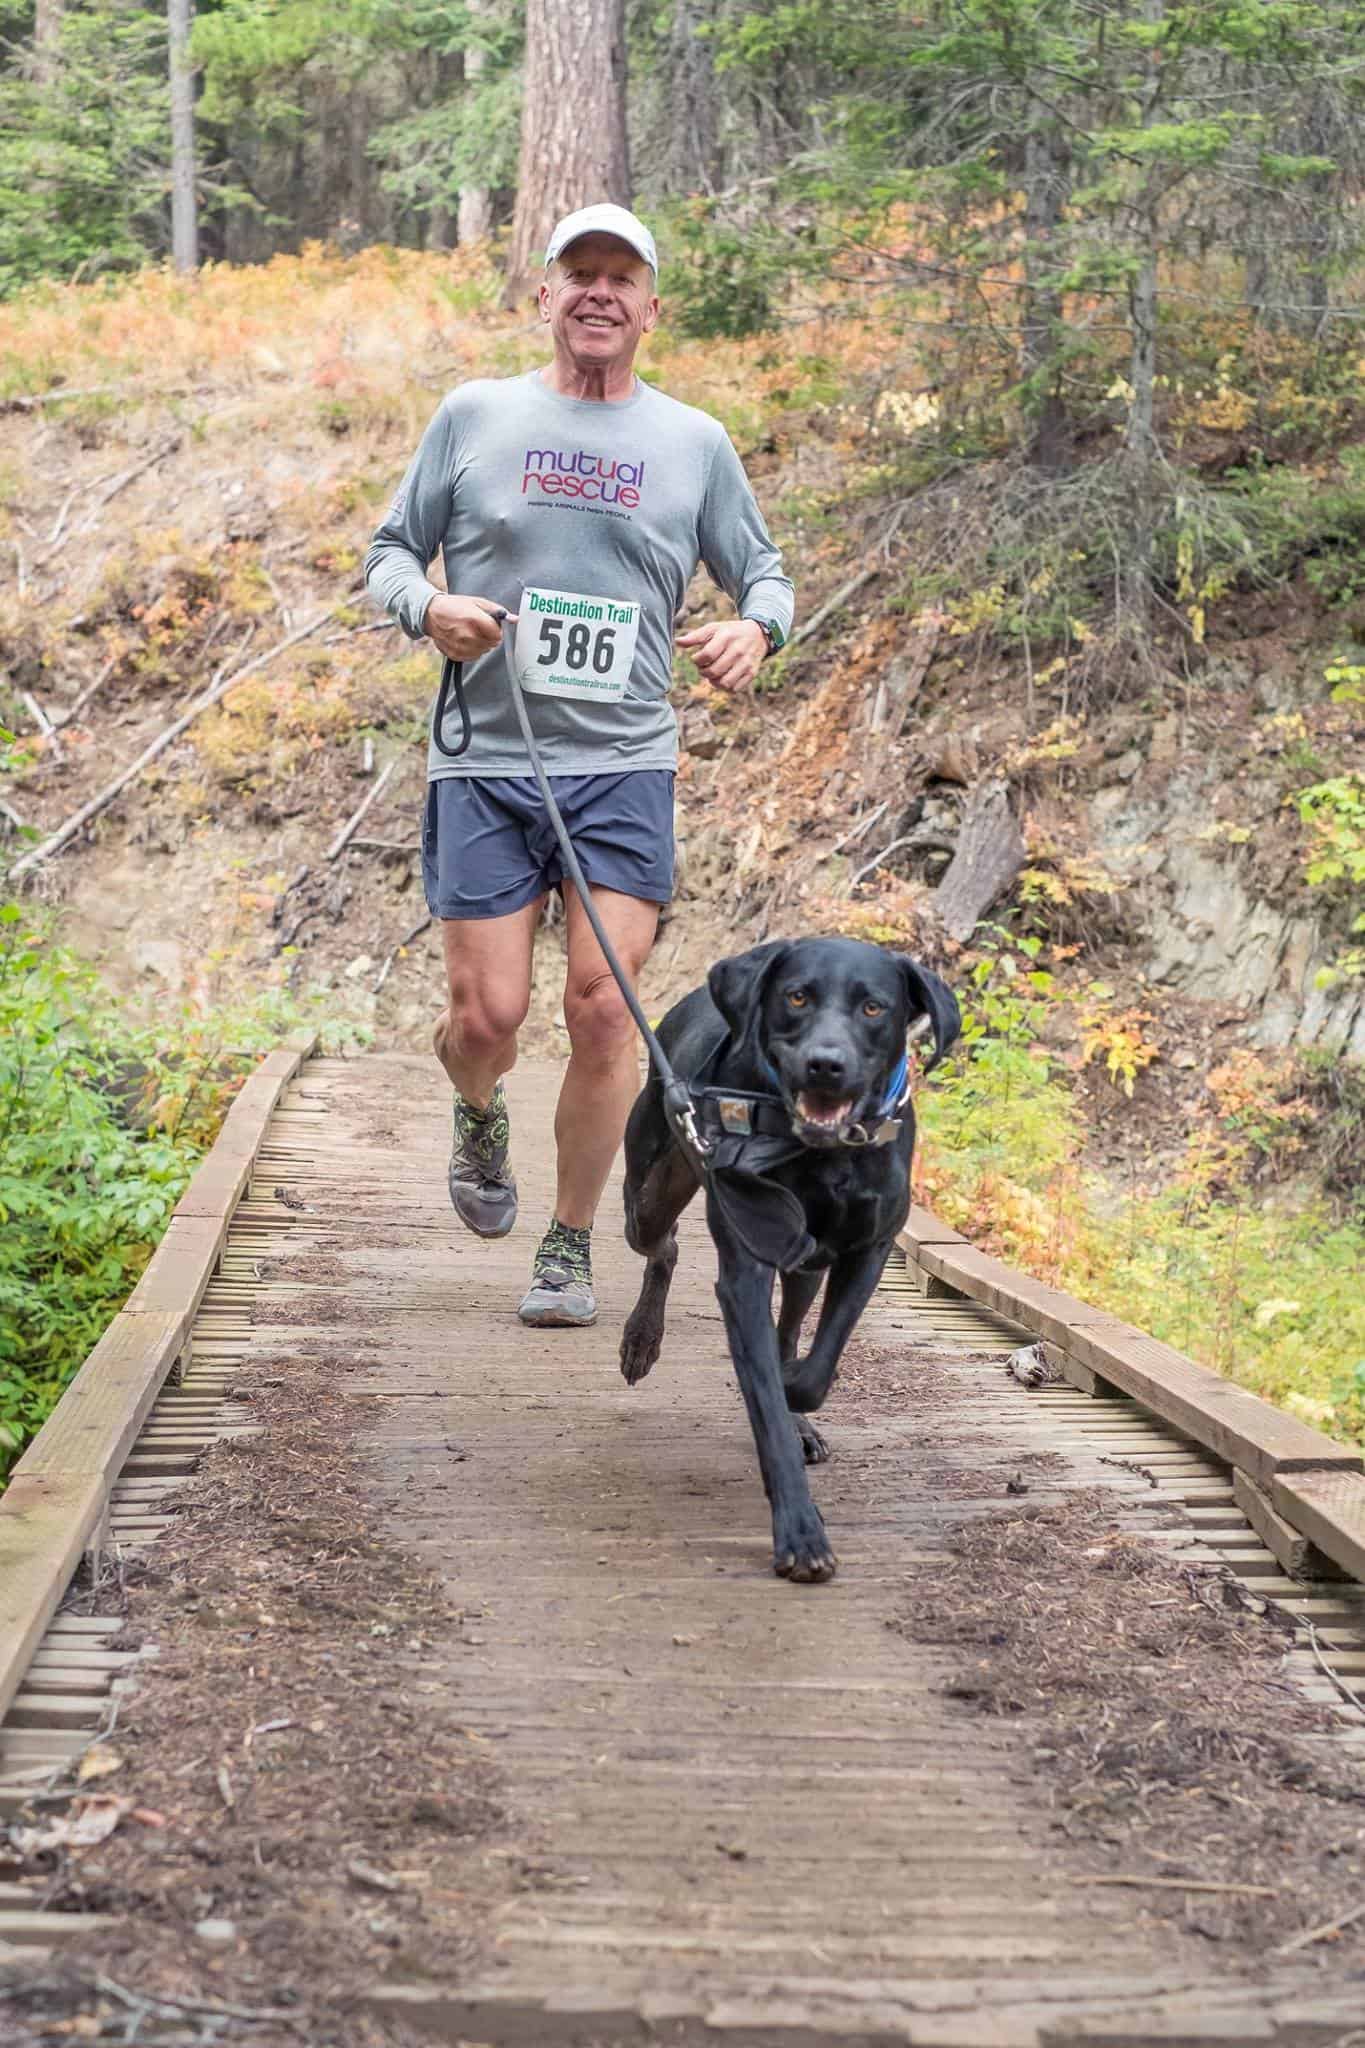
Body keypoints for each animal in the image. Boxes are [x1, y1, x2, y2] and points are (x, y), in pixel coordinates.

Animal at [622, 937, 961, 1589]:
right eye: (797, 996)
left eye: (874, 1008)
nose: (825, 1063)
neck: (819, 1153)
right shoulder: (746, 1268)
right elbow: (768, 1406)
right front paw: (802, 1534)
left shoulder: (868, 1252)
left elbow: (813, 1370)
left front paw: (795, 1399)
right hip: (647, 1197)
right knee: (664, 1245)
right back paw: (641, 1340)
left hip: (807, 1267)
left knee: (789, 1328)